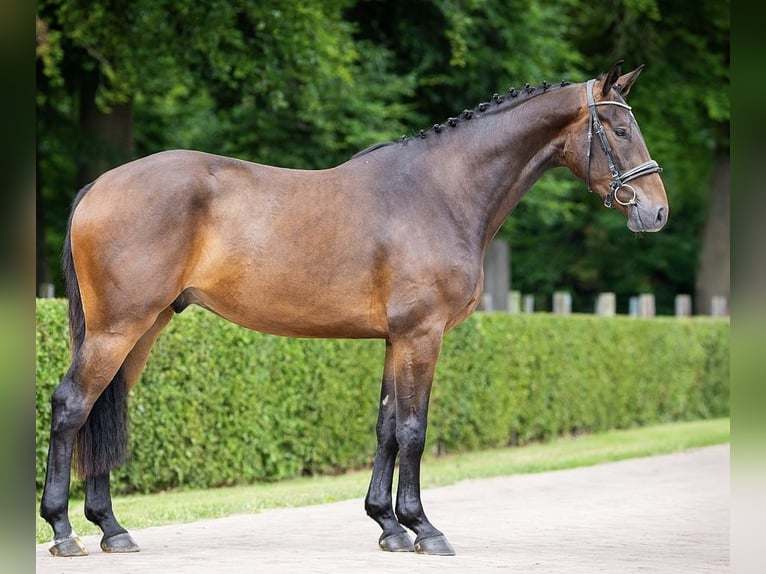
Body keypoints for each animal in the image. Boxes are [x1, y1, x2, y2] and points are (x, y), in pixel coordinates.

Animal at [40, 60, 668, 557]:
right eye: (619, 129)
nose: (656, 212)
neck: (440, 191)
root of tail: (98, 187)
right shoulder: (422, 335)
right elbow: (414, 428)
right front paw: (424, 528)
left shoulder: (396, 339)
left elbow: (387, 427)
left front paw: (388, 526)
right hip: (118, 328)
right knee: (72, 405)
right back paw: (64, 530)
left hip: (144, 327)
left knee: (101, 408)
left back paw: (113, 528)